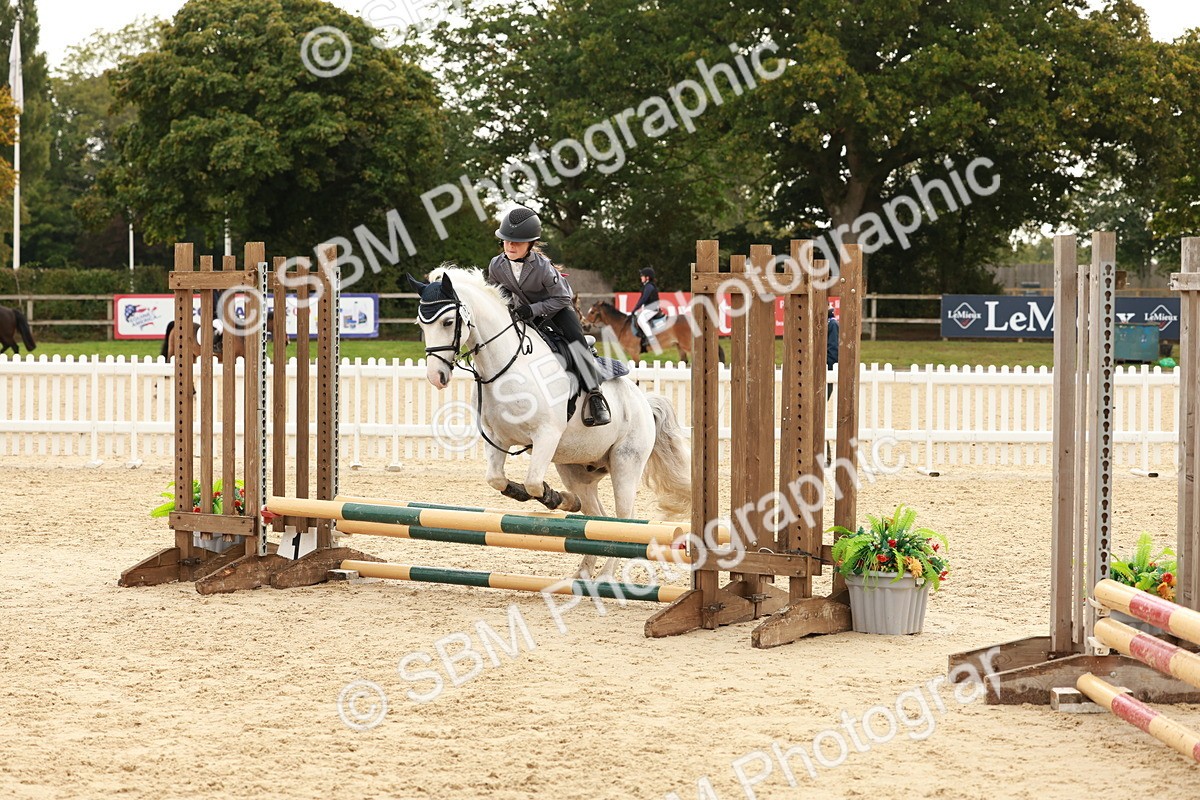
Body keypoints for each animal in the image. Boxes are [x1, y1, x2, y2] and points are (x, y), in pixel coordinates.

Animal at [408, 267, 692, 579]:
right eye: (421, 325)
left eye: (448, 322)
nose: (436, 377)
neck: (505, 366)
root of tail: (644, 401)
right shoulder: (497, 438)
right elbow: (497, 479)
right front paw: (550, 497)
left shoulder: (546, 435)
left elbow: (534, 483)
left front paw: (555, 498)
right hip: (577, 469)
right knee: (596, 518)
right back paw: (583, 570)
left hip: (625, 462)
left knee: (623, 520)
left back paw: (605, 574)